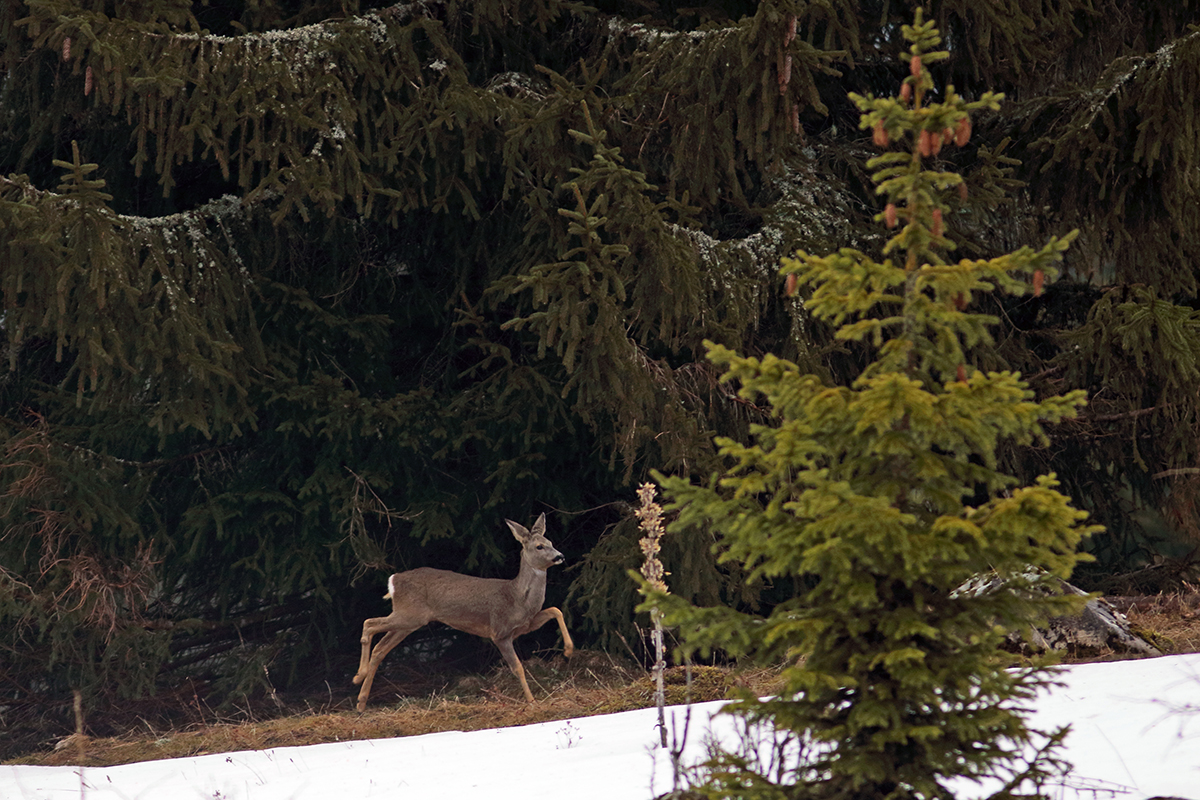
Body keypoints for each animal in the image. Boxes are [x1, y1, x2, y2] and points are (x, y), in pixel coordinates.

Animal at [350, 513, 573, 705]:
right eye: (539, 546)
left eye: (551, 543)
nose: (561, 556)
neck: (517, 598)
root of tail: (393, 581)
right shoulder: (500, 632)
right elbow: (517, 667)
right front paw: (532, 700)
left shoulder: (527, 625)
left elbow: (556, 610)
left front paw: (568, 650)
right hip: (409, 615)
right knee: (369, 624)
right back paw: (358, 677)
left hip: (408, 621)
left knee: (381, 647)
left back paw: (361, 700)